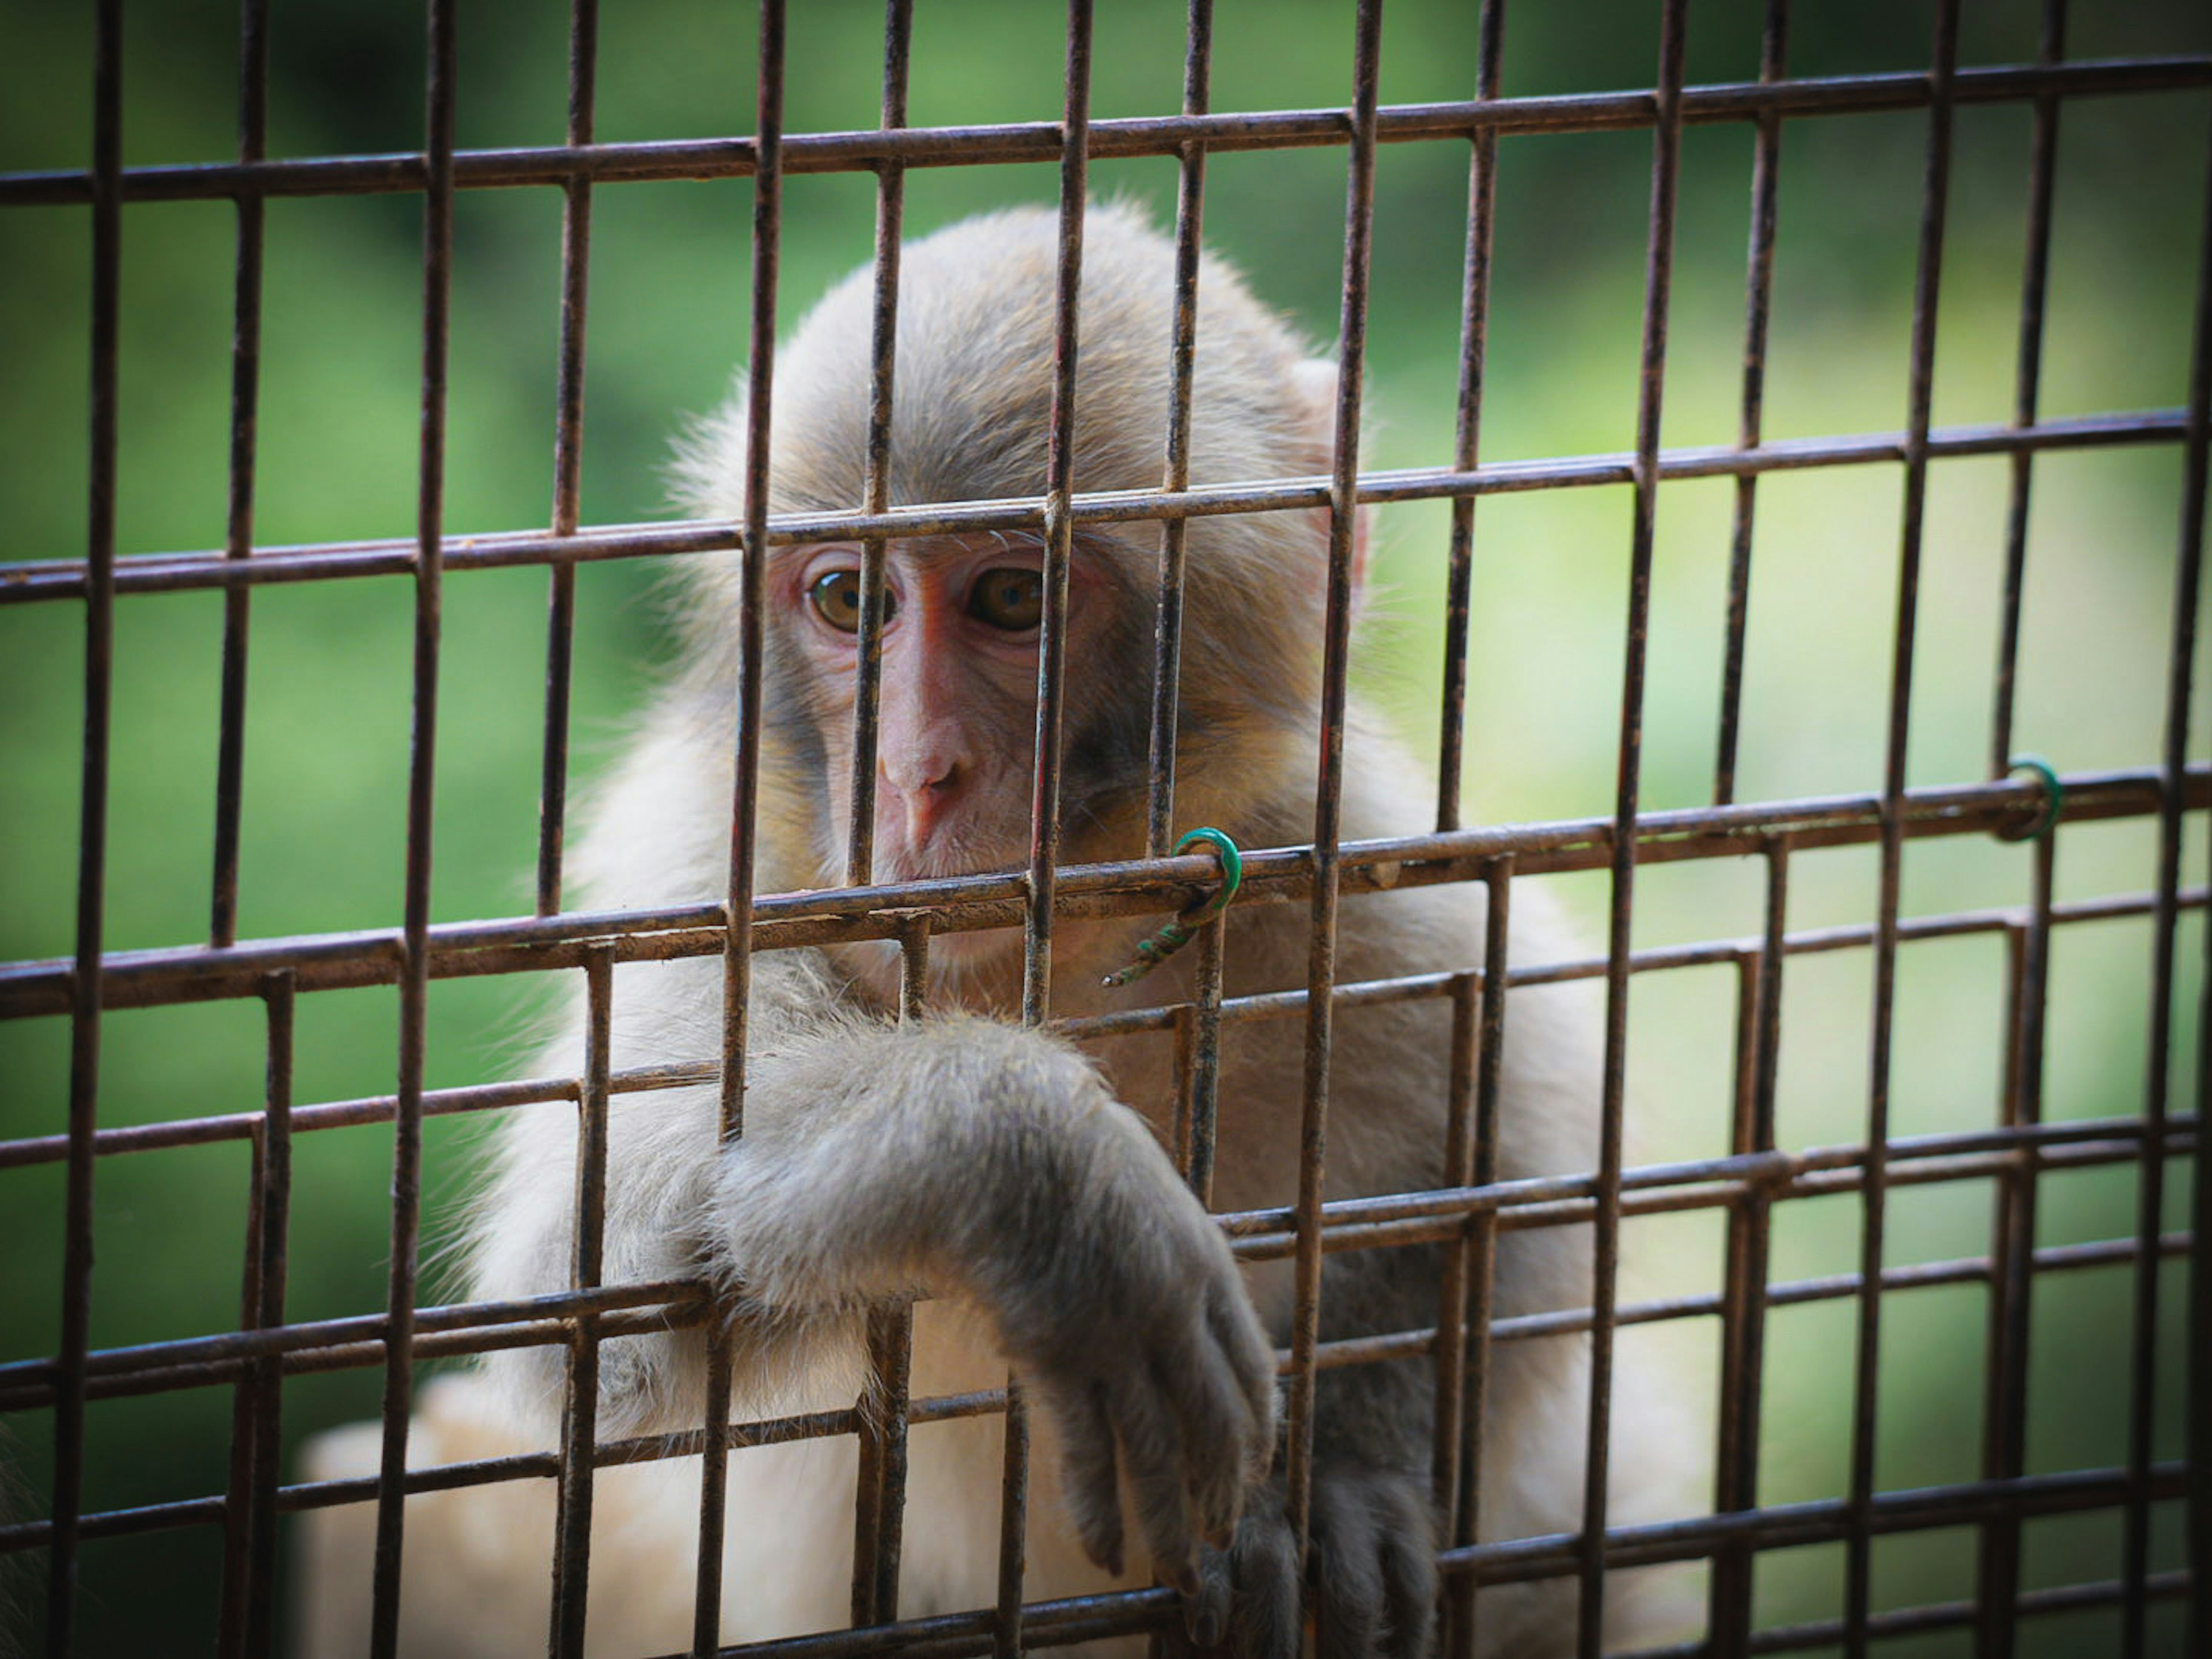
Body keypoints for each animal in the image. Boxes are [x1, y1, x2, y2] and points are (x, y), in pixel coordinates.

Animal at [298, 207, 1690, 1659]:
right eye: (849, 601)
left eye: (1015, 602)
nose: (915, 775)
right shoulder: (702, 859)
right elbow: (600, 1290)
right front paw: (1039, 1175)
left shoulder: (1358, 866)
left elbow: (1525, 1170)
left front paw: (1352, 1467)